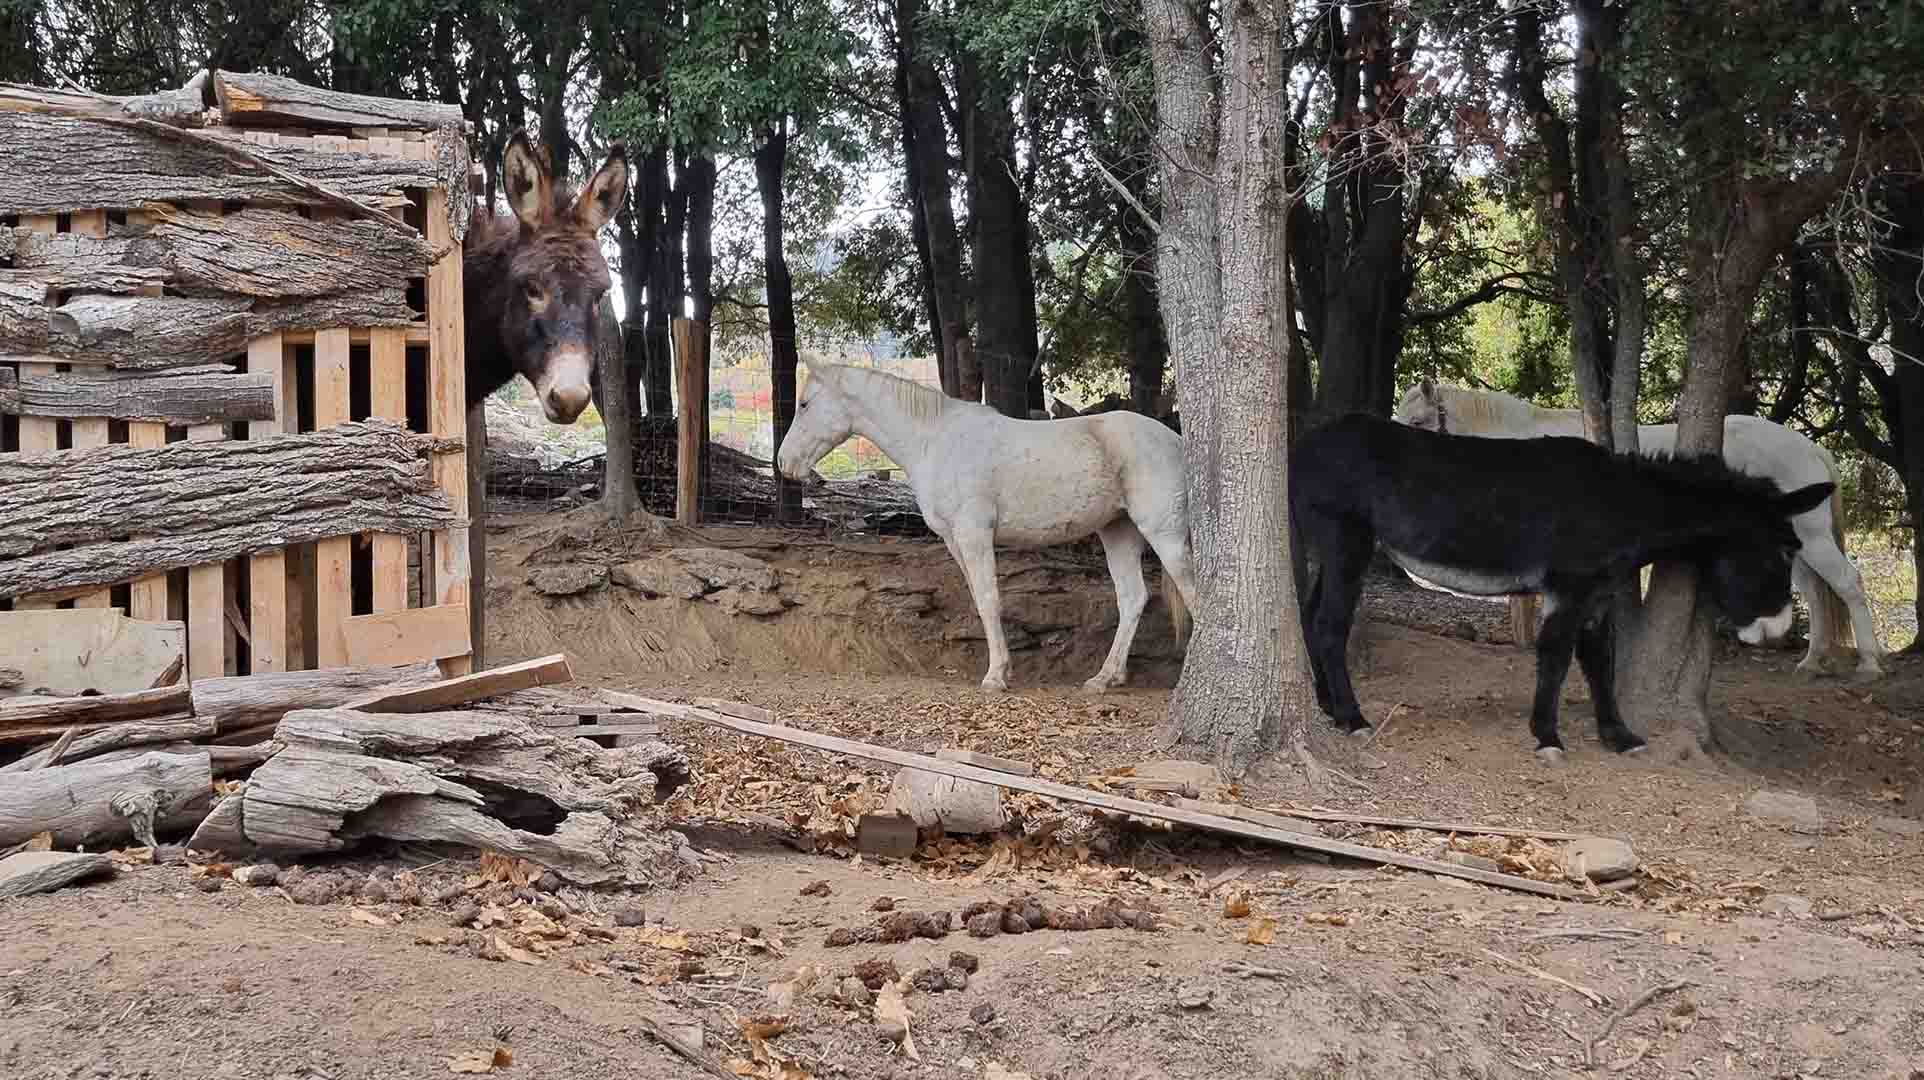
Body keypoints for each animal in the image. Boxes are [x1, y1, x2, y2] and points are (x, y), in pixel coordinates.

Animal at [773, 363, 1192, 689]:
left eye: (804, 403)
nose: (784, 463)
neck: (934, 441)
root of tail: (1174, 440)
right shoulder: (954, 541)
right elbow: (979, 600)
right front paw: (1001, 669)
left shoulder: (974, 534)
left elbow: (990, 600)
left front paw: (995, 677)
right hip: (1118, 531)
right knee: (1133, 598)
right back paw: (1106, 678)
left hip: (1164, 534)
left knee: (1190, 591)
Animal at [1392, 383, 1885, 677]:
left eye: (1418, 422)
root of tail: (1809, 447)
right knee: (1816, 593)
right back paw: (1812, 661)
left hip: (1814, 540)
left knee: (1847, 583)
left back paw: (1870, 664)